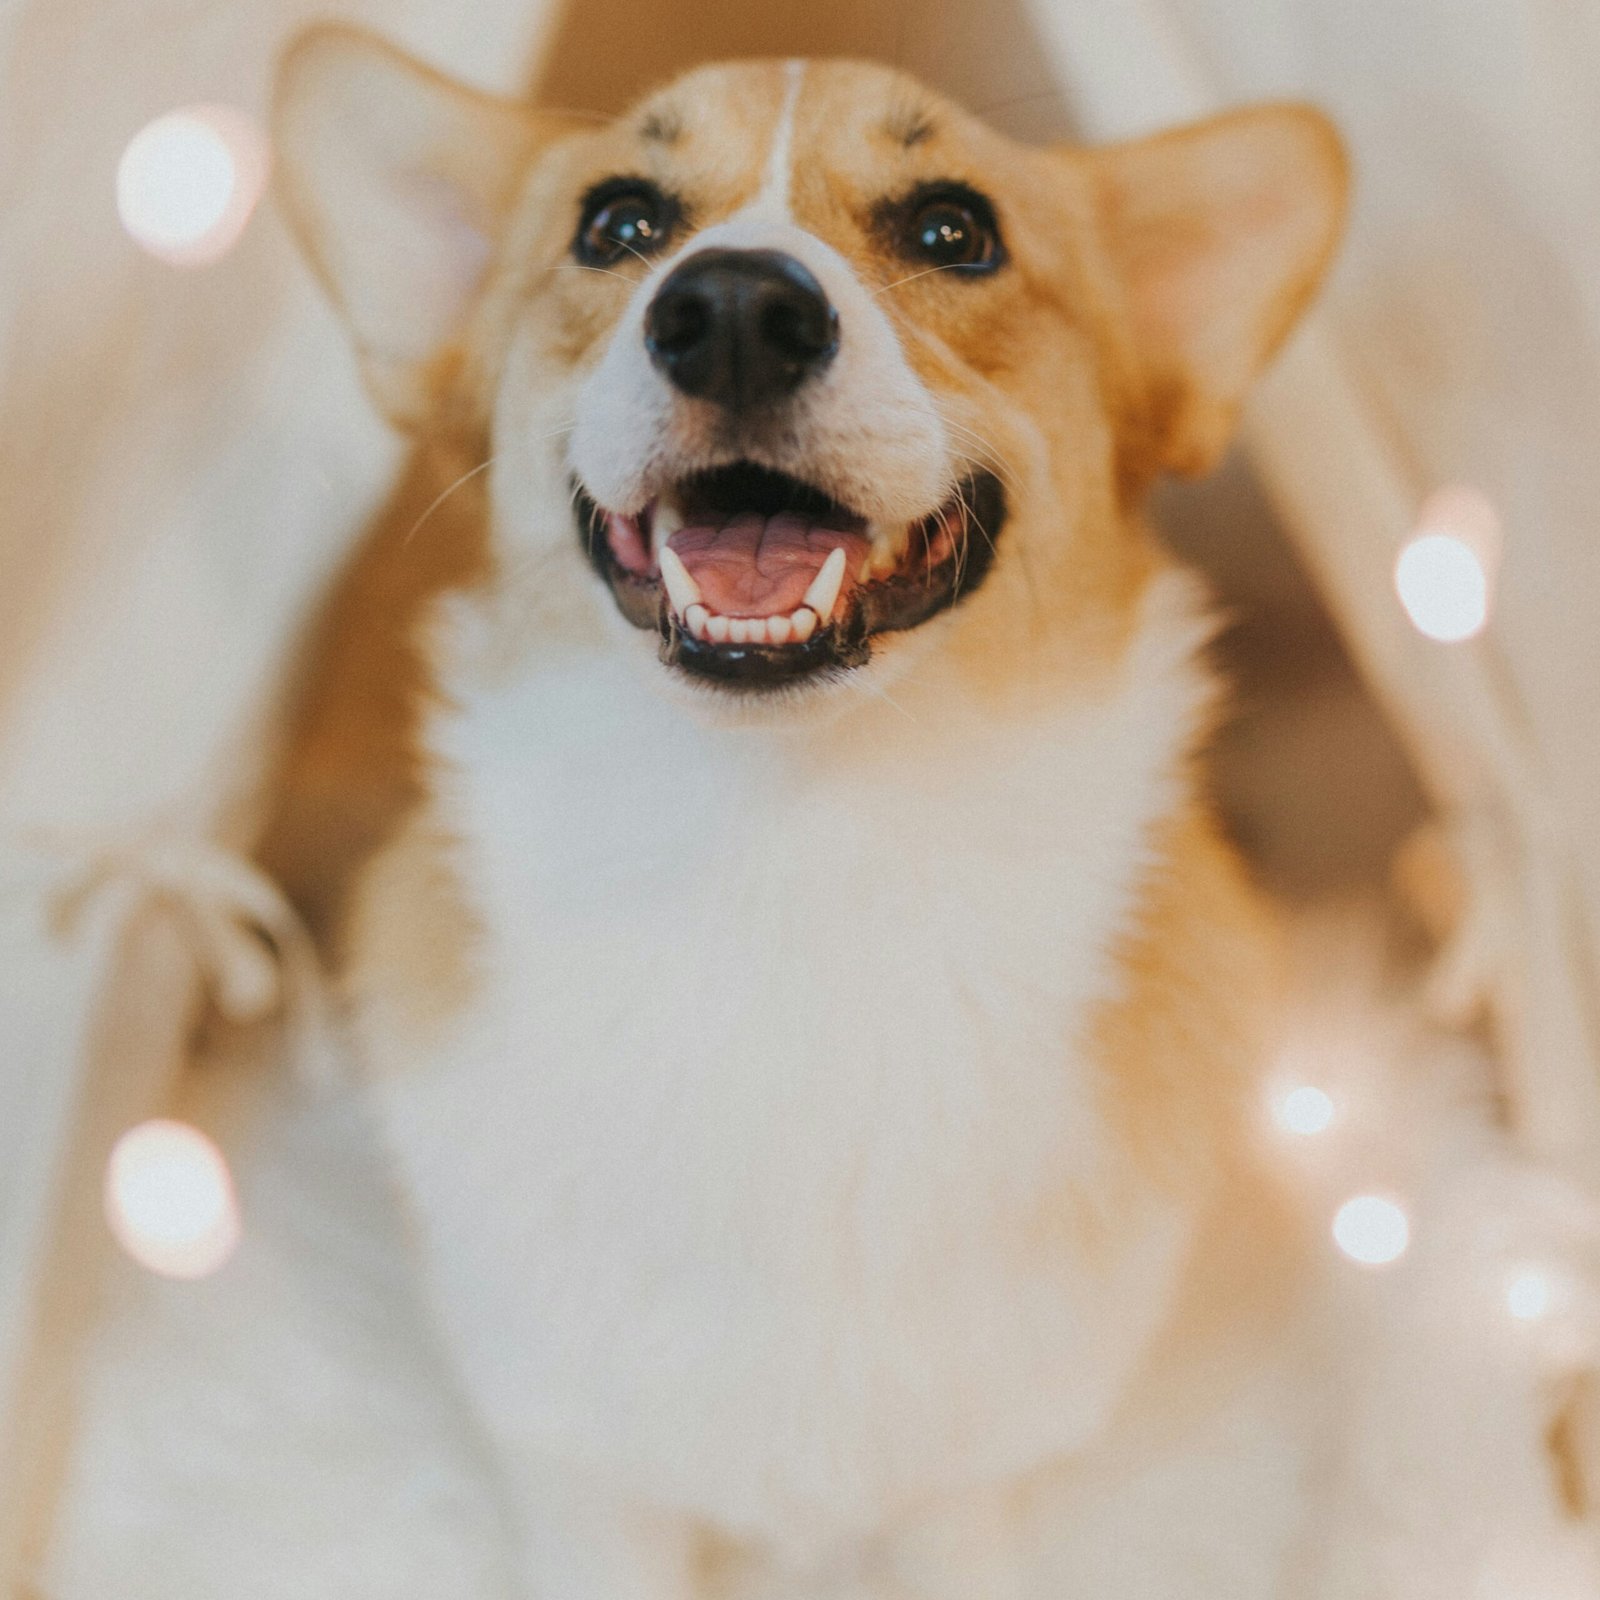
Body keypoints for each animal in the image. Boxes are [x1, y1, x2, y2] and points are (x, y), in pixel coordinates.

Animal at [40, 25, 1600, 1600]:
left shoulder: (958, 1489)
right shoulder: (589, 1477)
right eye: (615, 225)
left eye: (954, 231)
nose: (732, 308)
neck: (783, 853)